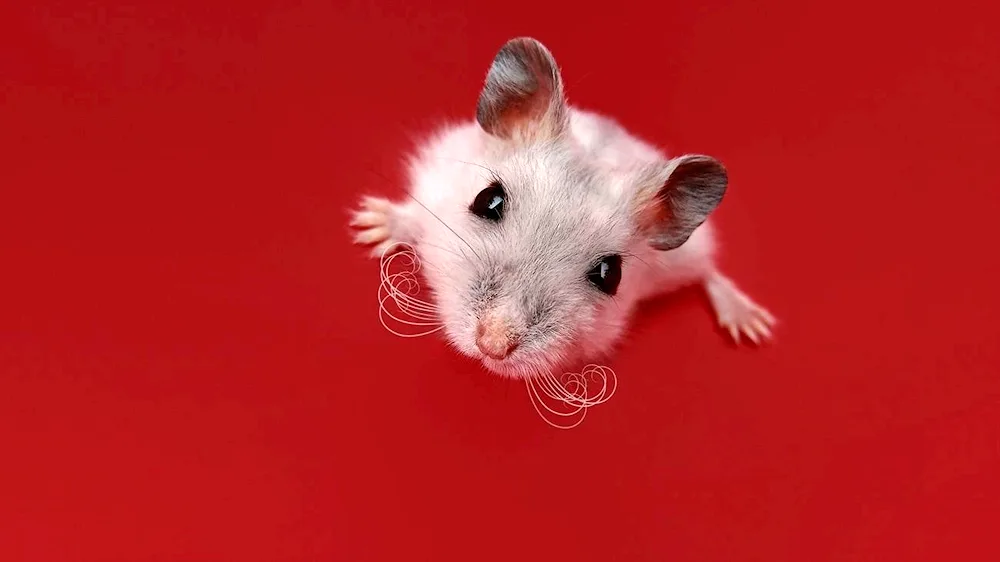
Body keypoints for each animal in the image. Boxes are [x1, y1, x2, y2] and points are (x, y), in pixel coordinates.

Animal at [348, 37, 776, 378]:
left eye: (610, 274)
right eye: (488, 200)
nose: (492, 346)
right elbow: (410, 216)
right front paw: (367, 224)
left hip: (686, 256)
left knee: (709, 272)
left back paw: (752, 326)